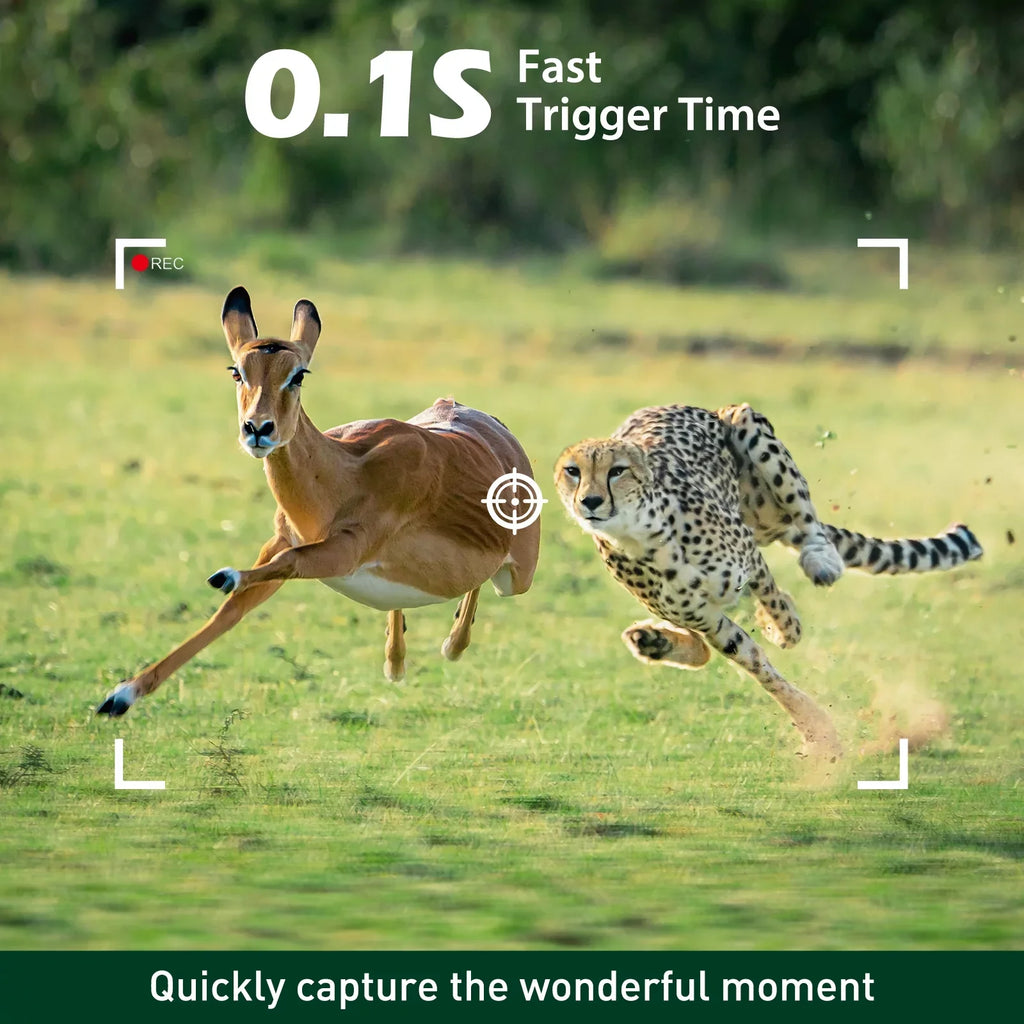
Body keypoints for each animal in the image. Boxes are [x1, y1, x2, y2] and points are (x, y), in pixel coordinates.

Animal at [97, 287, 540, 716]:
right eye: (237, 371)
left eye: (298, 374)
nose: (258, 429)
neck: (343, 475)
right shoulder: (282, 541)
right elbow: (231, 611)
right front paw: (120, 696)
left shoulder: (345, 551)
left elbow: (284, 565)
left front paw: (226, 575)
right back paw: (395, 662)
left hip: (516, 579)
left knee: (483, 583)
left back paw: (450, 647)